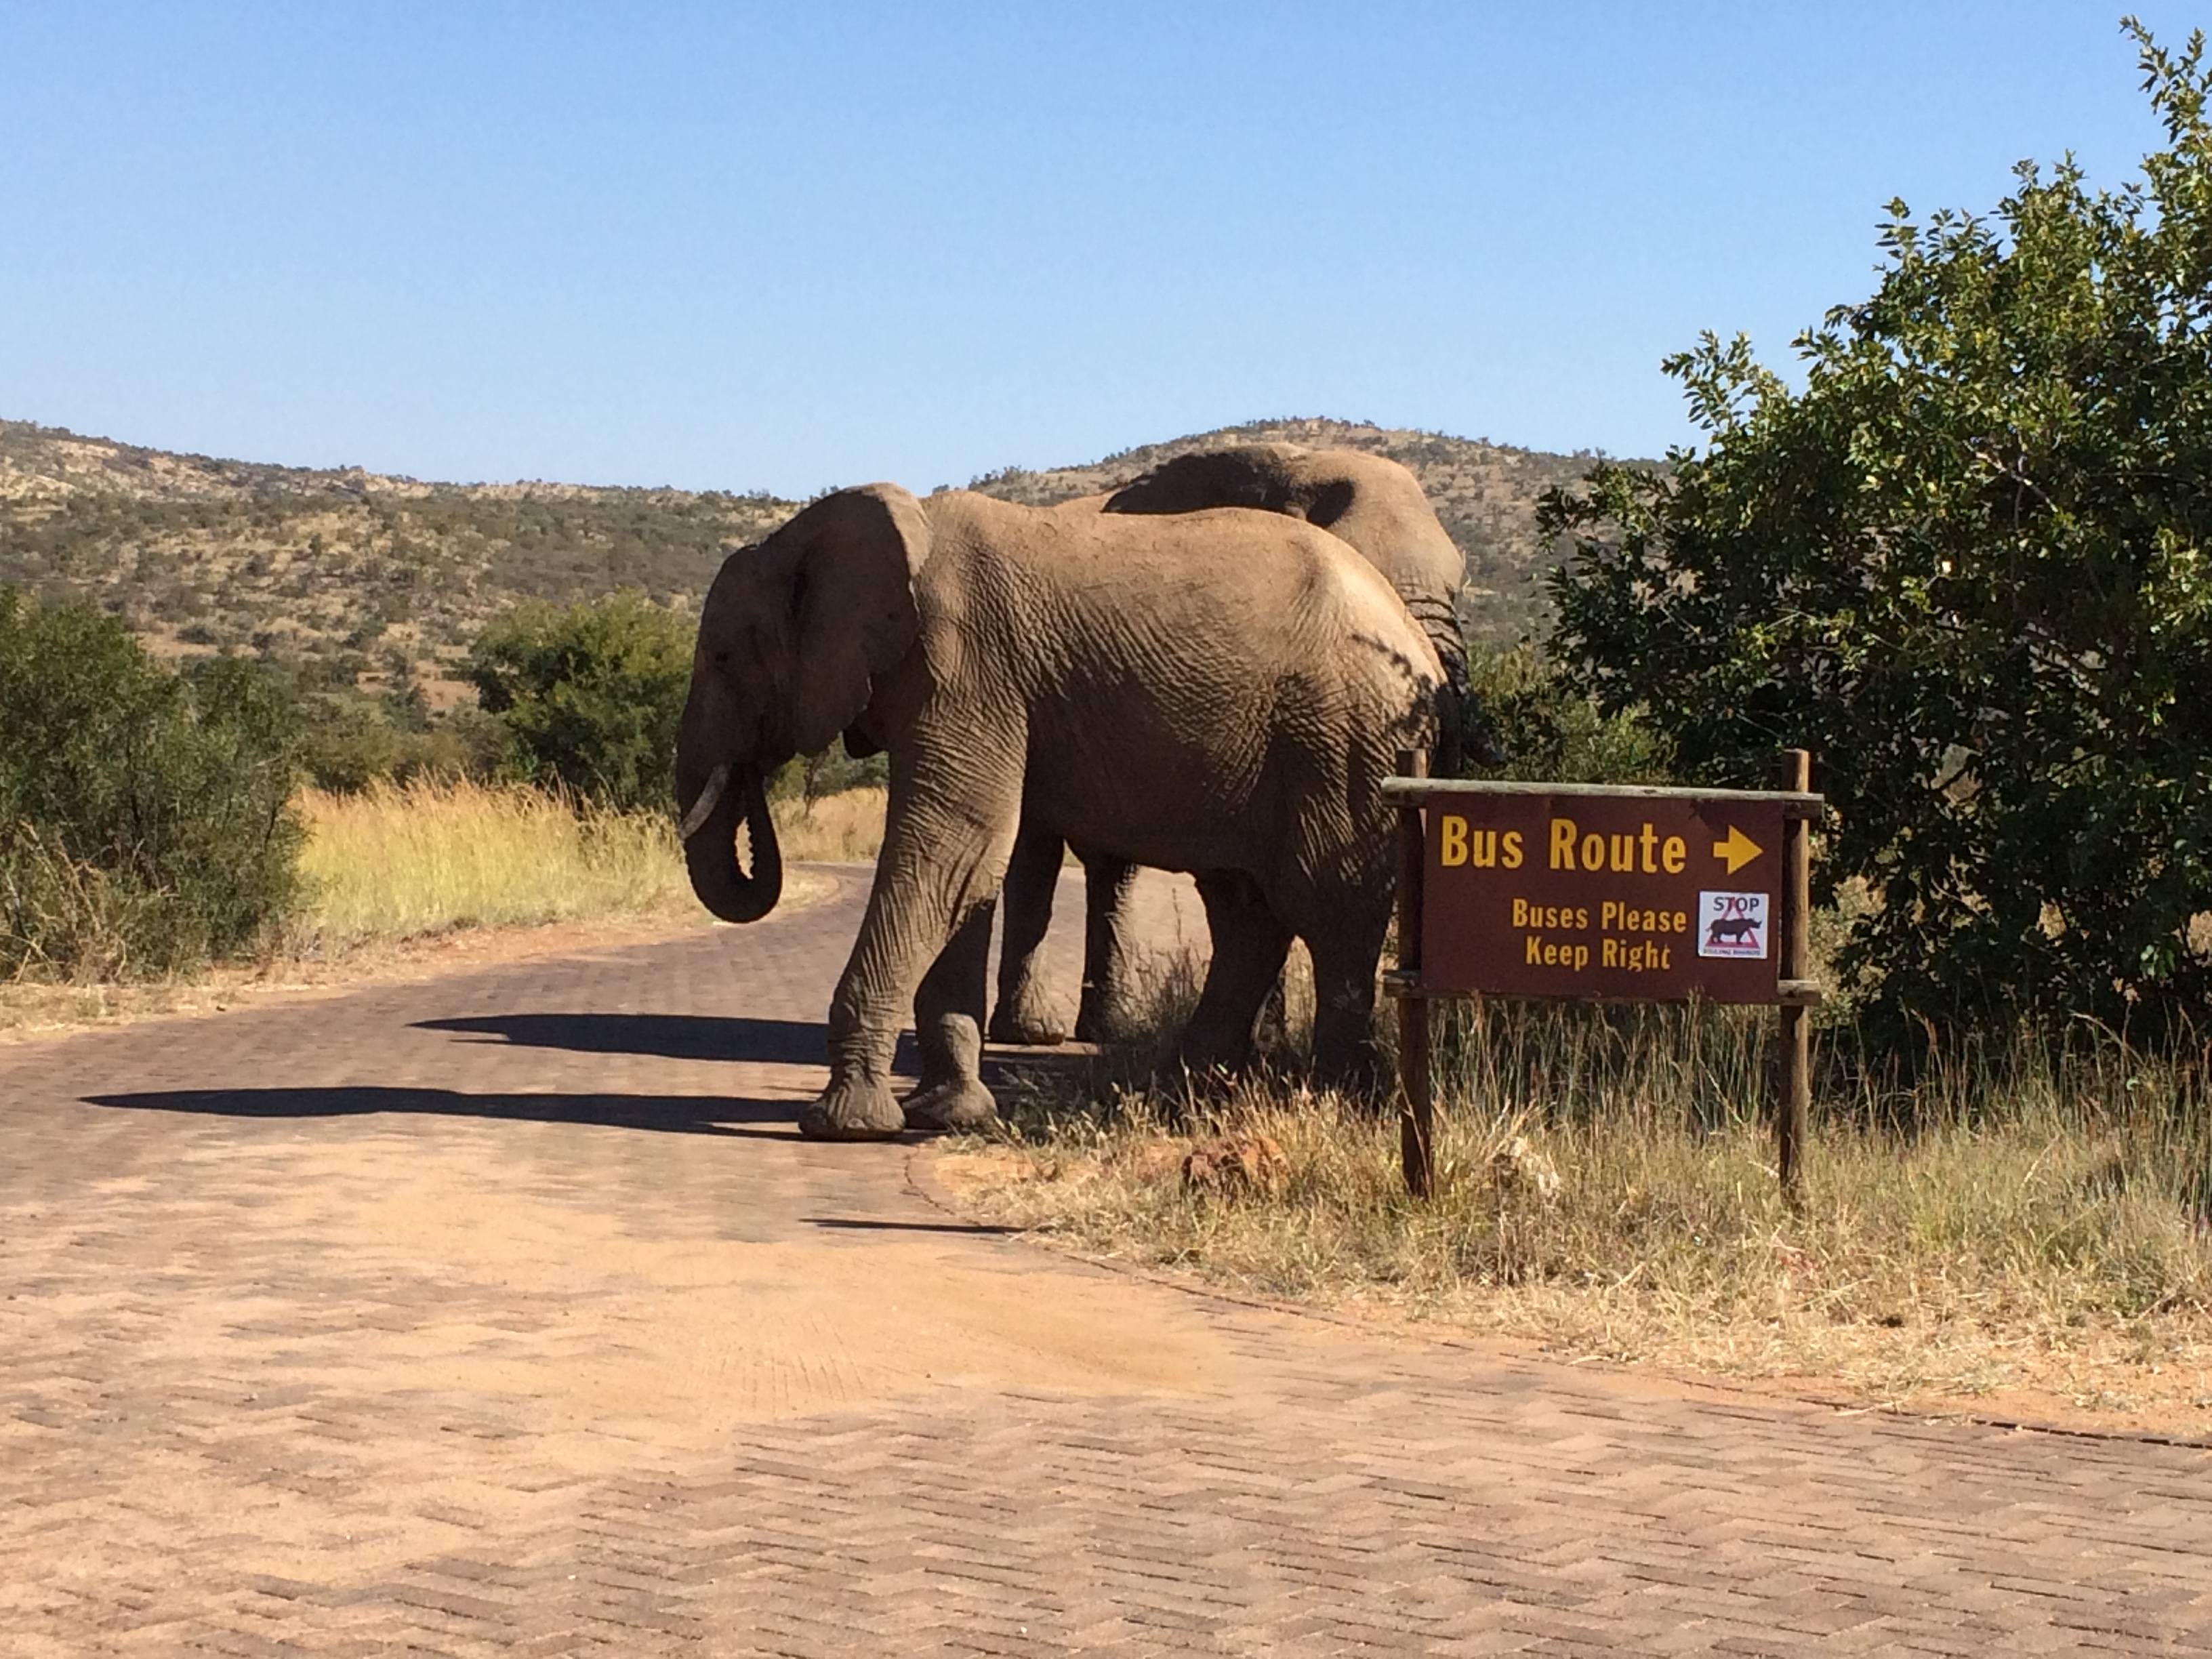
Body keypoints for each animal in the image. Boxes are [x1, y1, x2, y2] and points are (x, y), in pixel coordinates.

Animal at [676, 483, 1441, 1140]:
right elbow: (967, 869)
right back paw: (1185, 1094)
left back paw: (1336, 1101)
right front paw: (946, 1115)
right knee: (1246, 912)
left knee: (1331, 910)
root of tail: (1422, 649)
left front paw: (845, 1124)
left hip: (1344, 740)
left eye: (723, 657)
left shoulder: (965, 666)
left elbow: (954, 843)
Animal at [988, 442, 1475, 1048]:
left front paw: (1265, 1044)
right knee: (1037, 854)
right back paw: (1029, 1033)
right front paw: (1265, 1043)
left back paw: (1107, 1030)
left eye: (1458, 587)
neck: (1294, 463)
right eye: (1359, 562)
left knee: (1111, 871)